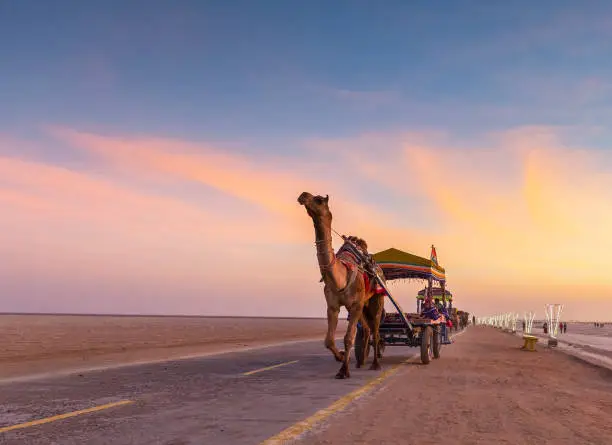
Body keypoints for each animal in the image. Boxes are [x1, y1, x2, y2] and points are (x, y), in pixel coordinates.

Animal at [296, 192, 382, 378]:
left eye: (319, 200)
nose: (303, 195)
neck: (340, 278)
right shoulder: (333, 305)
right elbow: (328, 340)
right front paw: (341, 357)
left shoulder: (355, 304)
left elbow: (348, 337)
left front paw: (343, 370)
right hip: (361, 305)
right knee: (367, 329)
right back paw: (360, 361)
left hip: (376, 298)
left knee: (376, 329)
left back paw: (375, 364)